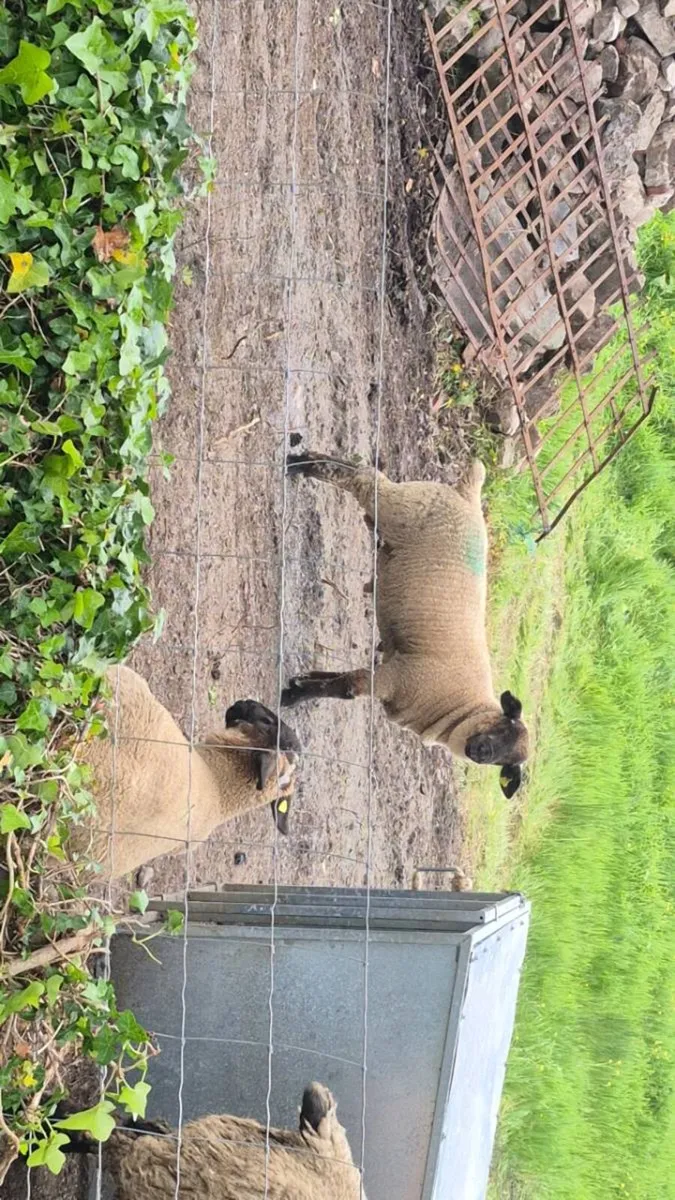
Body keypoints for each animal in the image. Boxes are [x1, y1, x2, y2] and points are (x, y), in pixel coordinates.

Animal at [281, 450, 528, 797]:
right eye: (507, 725)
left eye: (504, 764)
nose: (480, 752)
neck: (458, 706)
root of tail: (467, 494)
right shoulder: (402, 676)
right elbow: (346, 688)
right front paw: (290, 697)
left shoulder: (393, 668)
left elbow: (338, 678)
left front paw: (300, 682)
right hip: (401, 506)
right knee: (363, 477)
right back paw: (300, 465)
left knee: (358, 471)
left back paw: (300, 457)